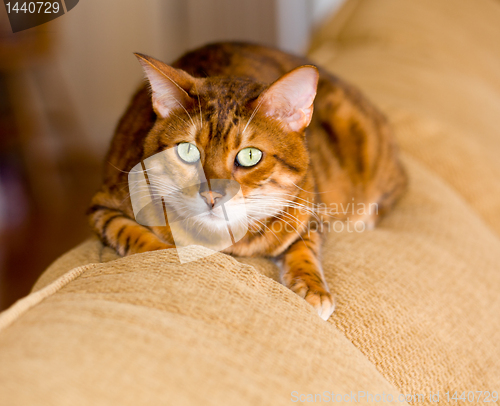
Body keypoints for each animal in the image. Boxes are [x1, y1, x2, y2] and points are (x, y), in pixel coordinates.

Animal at [89, 41, 406, 320]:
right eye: (188, 150)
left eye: (250, 155)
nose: (211, 196)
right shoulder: (103, 204)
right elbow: (130, 232)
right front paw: (162, 252)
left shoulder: (309, 207)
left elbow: (305, 246)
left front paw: (313, 288)